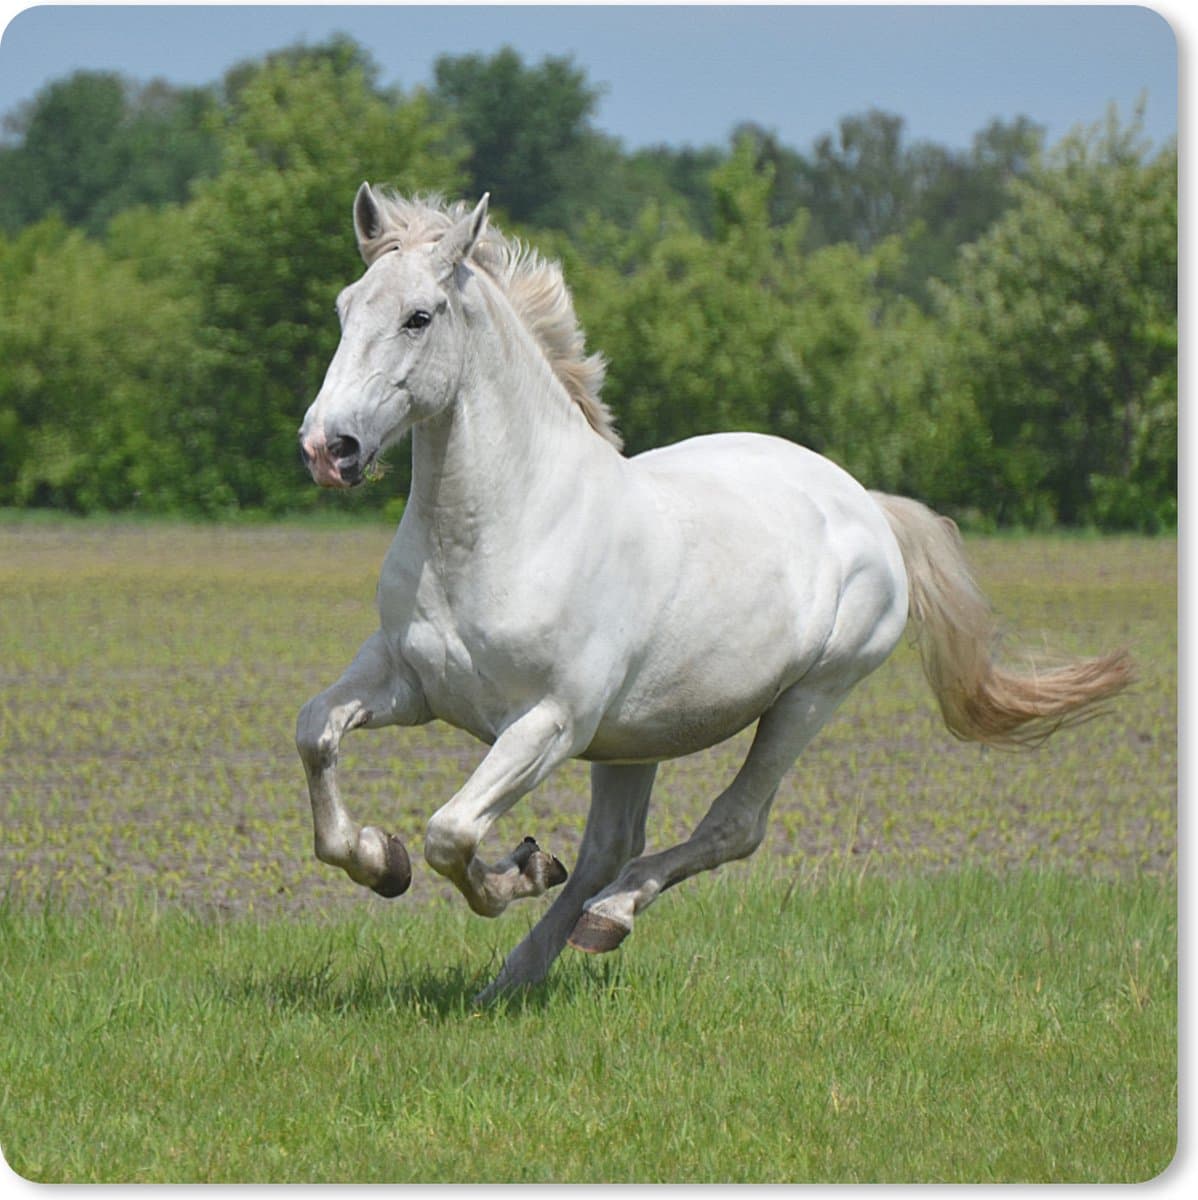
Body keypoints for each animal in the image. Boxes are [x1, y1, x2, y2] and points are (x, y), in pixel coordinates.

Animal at [296, 186, 1132, 1003]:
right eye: (345, 307)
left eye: (419, 316)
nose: (327, 448)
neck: (504, 530)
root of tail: (867, 502)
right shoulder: (408, 683)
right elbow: (316, 735)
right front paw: (382, 860)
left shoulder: (548, 722)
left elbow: (452, 832)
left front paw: (514, 871)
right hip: (634, 737)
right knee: (610, 847)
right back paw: (518, 974)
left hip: (808, 699)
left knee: (731, 827)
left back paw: (606, 918)